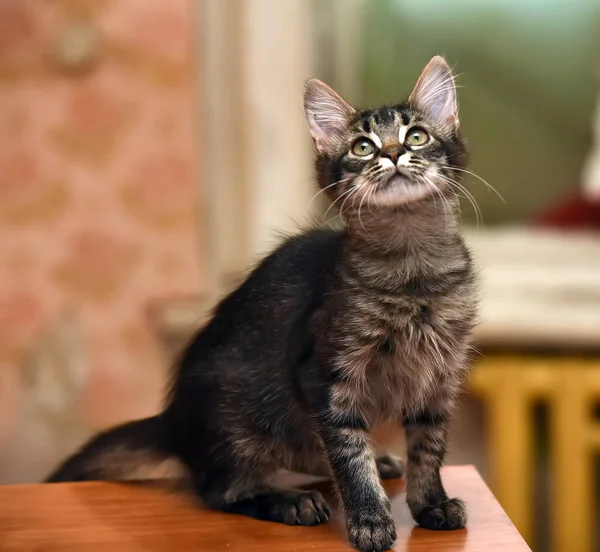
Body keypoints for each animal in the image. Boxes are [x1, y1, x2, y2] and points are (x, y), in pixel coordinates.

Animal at [45, 57, 478, 552]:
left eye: (417, 136)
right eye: (363, 147)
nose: (390, 154)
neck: (413, 273)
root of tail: (172, 419)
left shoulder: (438, 379)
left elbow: (428, 448)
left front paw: (430, 504)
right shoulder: (326, 377)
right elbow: (349, 455)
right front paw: (370, 519)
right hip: (238, 420)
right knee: (220, 488)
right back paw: (290, 501)